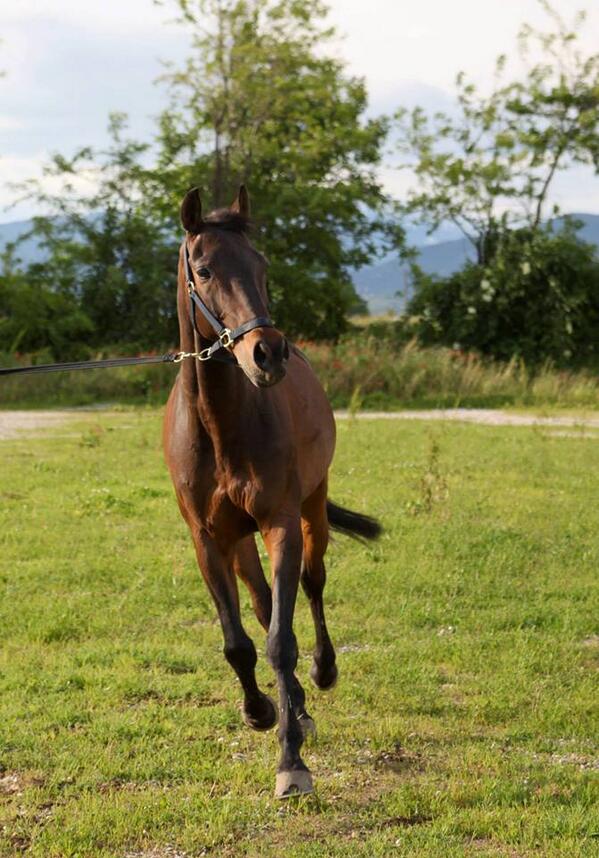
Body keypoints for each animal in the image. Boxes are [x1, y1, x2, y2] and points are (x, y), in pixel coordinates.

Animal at [163, 185, 381, 798]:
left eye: (261, 266)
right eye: (205, 270)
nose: (268, 353)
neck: (221, 427)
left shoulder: (281, 522)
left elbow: (282, 640)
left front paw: (292, 762)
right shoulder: (207, 540)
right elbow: (240, 639)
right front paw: (260, 711)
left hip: (312, 510)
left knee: (311, 583)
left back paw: (321, 675)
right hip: (240, 541)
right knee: (262, 604)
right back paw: (295, 706)